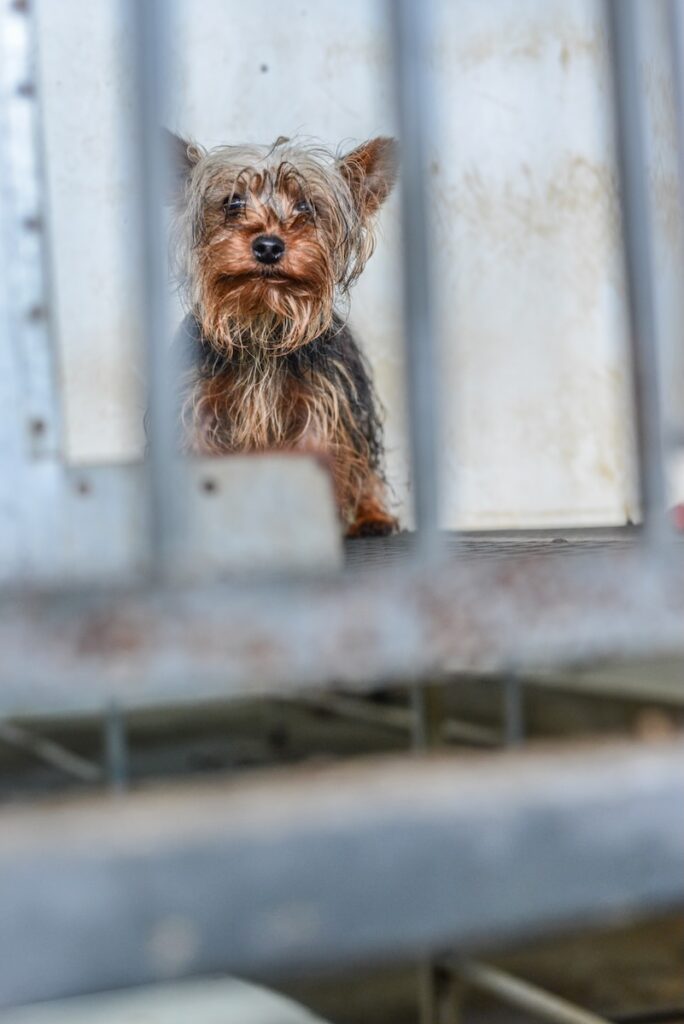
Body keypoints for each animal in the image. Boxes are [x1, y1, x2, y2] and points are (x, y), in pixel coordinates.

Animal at [167, 130, 397, 536]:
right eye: (233, 203)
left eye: (306, 207)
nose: (268, 246)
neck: (262, 321)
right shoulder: (197, 411)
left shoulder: (321, 408)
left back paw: (372, 516)